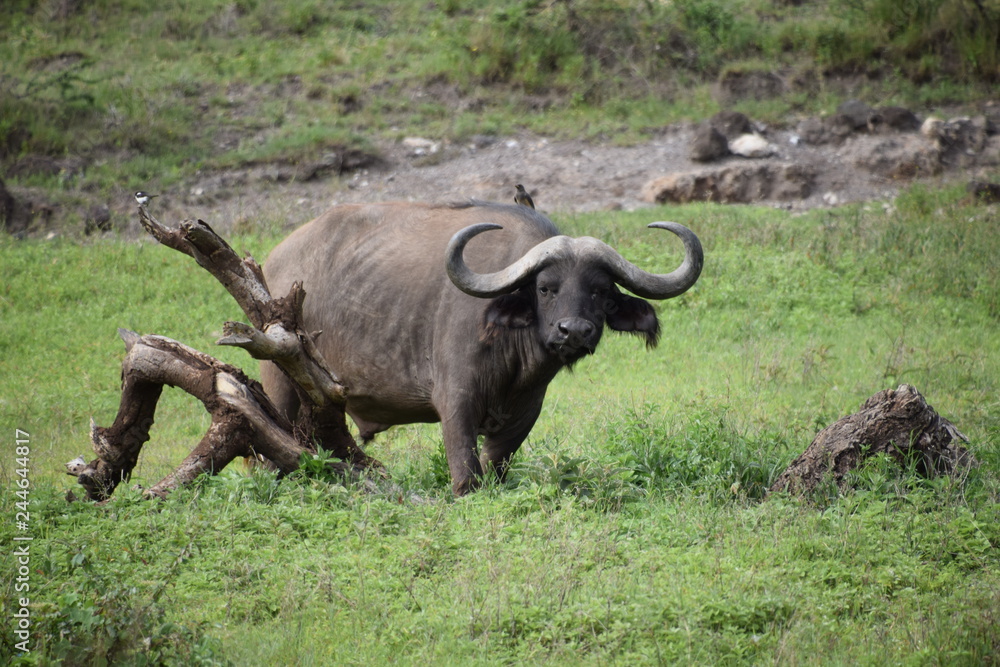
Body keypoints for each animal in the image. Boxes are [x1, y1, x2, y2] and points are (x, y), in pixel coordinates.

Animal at [262, 201, 708, 498]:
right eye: (545, 288)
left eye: (600, 292)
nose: (574, 331)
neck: (513, 356)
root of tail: (277, 257)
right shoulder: (455, 400)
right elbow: (466, 470)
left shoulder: (525, 411)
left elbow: (498, 465)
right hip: (279, 379)